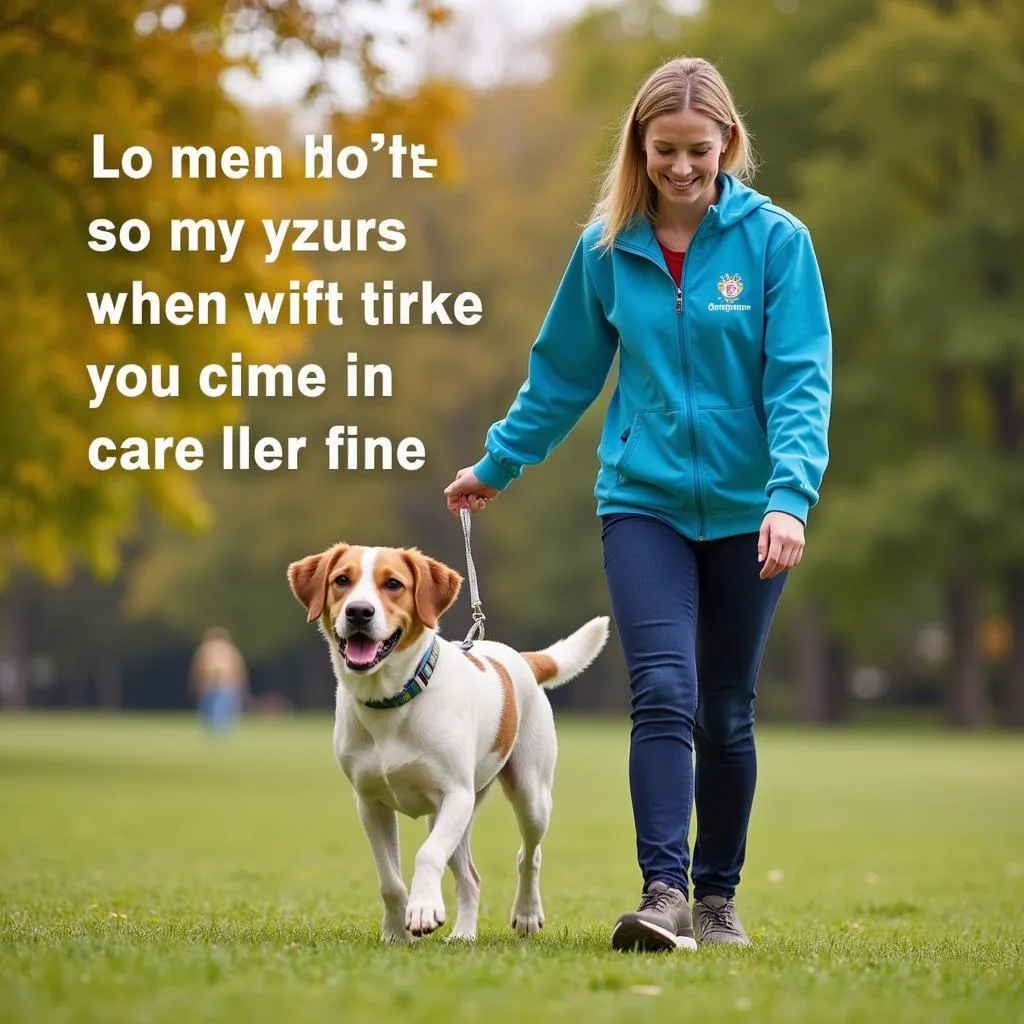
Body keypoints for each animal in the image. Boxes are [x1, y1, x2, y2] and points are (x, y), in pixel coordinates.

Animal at [288, 544, 606, 942]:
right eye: (341, 580)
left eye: (393, 584)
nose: (359, 611)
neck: (393, 701)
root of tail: (521, 658)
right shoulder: (371, 803)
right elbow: (389, 880)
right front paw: (397, 932)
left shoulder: (455, 794)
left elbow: (426, 855)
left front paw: (424, 909)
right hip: (454, 814)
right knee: (470, 877)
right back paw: (464, 935)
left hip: (528, 795)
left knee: (529, 855)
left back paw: (527, 914)